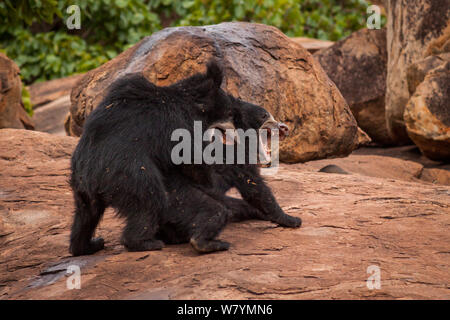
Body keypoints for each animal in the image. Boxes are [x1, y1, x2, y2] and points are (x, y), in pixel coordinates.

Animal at [70, 59, 300, 255]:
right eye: (265, 115)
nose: (284, 127)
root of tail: (91, 179)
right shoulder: (181, 127)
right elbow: (250, 186)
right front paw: (291, 219)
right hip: (130, 176)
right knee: (152, 201)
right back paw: (152, 242)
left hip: (82, 190)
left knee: (85, 215)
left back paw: (86, 246)